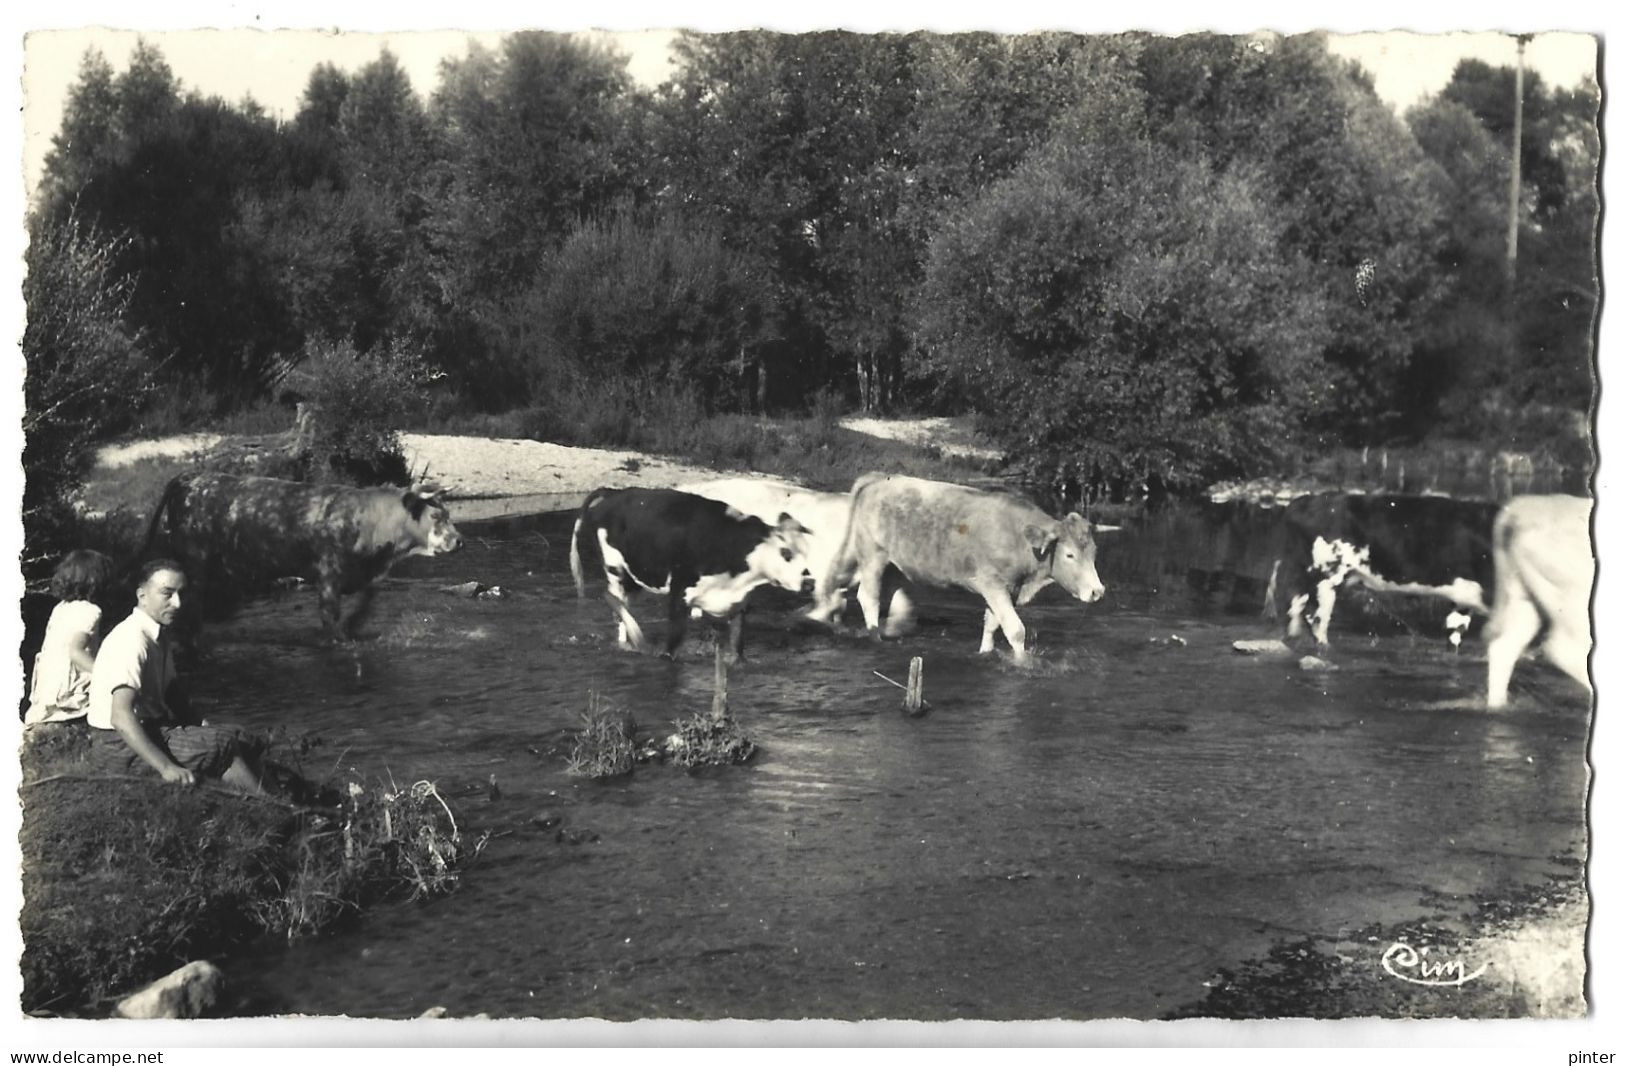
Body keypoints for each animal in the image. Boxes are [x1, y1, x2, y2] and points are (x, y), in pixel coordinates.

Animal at [139, 471, 464, 637]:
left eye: (448, 513)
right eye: (436, 516)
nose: (460, 541)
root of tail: (189, 479)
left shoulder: (366, 577)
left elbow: (363, 608)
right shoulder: (328, 578)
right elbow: (332, 622)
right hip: (195, 561)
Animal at [572, 490, 819, 656]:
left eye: (807, 551)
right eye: (786, 552)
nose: (809, 582)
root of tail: (614, 493)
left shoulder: (739, 604)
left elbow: (737, 648)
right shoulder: (679, 596)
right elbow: (671, 647)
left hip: (635, 577)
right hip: (616, 571)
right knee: (613, 600)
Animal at [825, 471, 1105, 663]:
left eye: (1093, 552)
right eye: (1069, 555)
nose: (1097, 591)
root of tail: (877, 479)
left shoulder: (1005, 589)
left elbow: (992, 624)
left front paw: (985, 652)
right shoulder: (992, 584)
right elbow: (1015, 630)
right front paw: (1022, 661)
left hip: (895, 565)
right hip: (873, 557)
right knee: (868, 598)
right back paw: (876, 637)